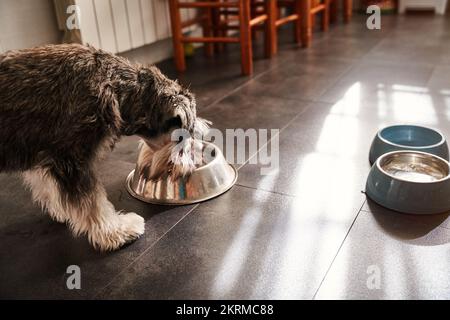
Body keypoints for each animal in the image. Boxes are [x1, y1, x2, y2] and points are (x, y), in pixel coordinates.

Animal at [0, 43, 207, 251]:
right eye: (182, 137)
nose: (189, 169)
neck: (115, 89)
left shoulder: (41, 151)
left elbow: (48, 185)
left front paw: (61, 209)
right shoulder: (73, 158)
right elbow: (93, 202)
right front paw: (117, 232)